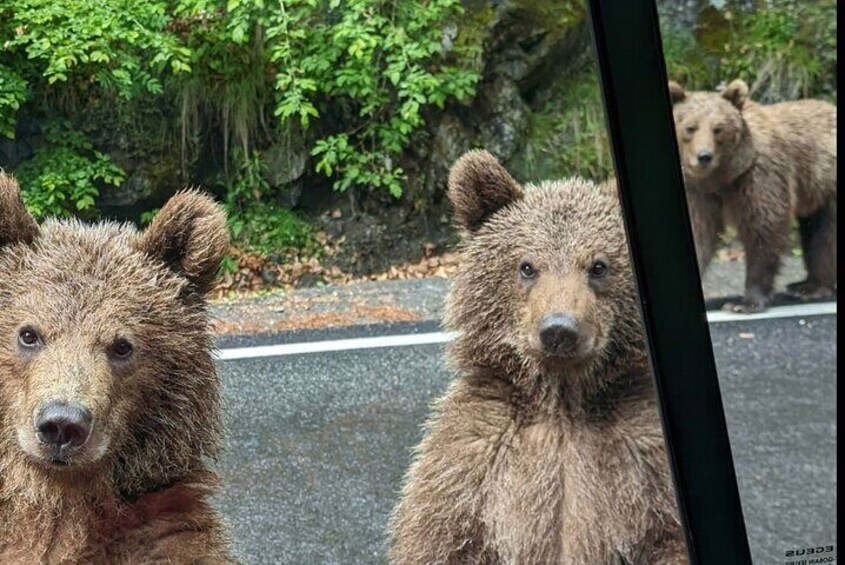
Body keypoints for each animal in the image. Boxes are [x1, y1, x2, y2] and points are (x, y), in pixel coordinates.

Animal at [388, 150, 684, 564]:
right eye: (527, 266)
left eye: (598, 266)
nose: (559, 329)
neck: (561, 402)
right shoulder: (471, 461)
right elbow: (441, 539)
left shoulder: (643, 454)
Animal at [664, 78, 836, 312]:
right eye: (690, 127)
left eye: (718, 129)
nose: (704, 156)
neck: (722, 177)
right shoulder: (697, 191)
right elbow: (700, 233)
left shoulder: (759, 177)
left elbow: (763, 230)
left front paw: (745, 302)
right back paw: (806, 285)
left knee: (826, 234)